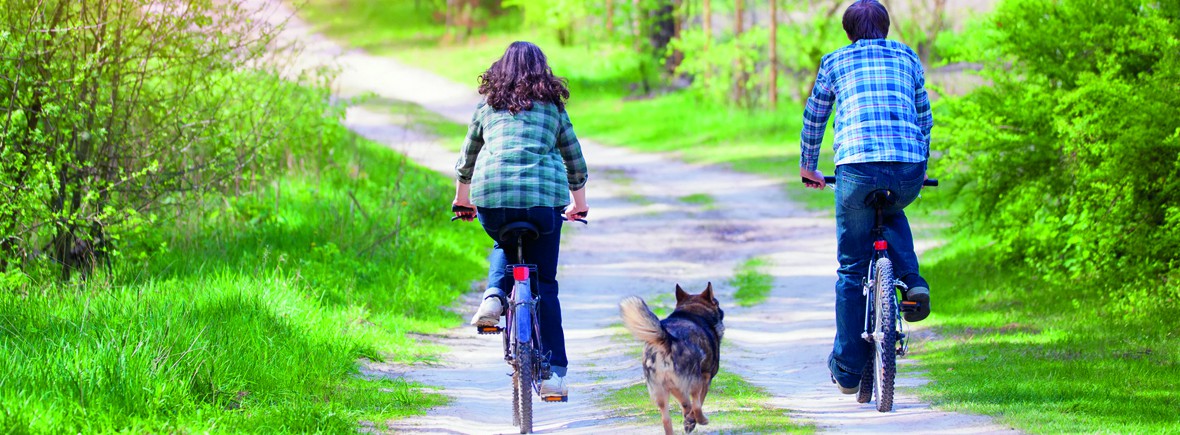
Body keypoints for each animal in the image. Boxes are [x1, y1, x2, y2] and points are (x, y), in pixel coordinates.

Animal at [623, 282, 722, 431]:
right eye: (716, 303)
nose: (722, 312)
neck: (691, 311)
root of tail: (668, 339)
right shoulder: (706, 377)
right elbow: (699, 400)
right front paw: (691, 420)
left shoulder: (673, 385)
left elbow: (685, 403)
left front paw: (688, 419)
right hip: (695, 380)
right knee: (696, 405)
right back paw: (700, 420)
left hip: (661, 390)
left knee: (667, 419)